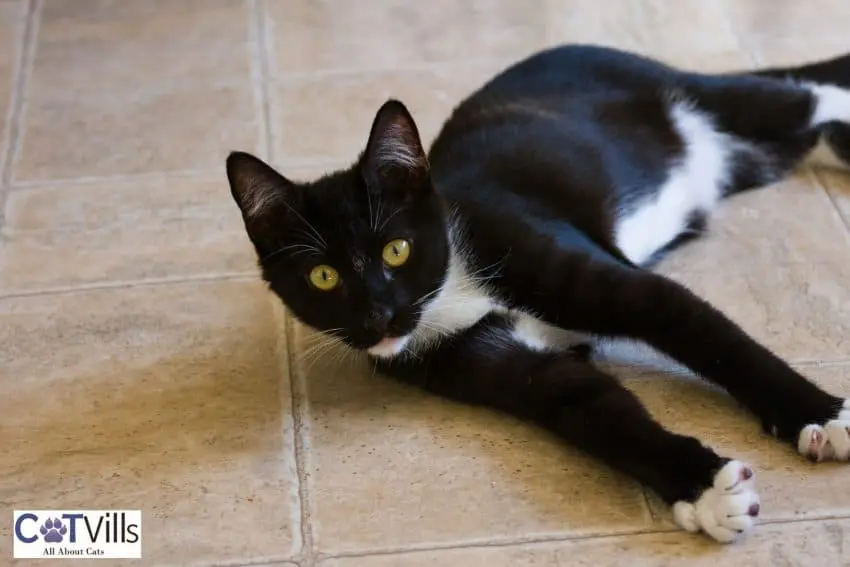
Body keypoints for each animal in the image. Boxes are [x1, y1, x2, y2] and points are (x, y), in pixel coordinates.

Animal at [224, 45, 848, 544]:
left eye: (396, 250)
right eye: (323, 277)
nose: (379, 316)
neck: (455, 288)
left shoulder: (609, 281)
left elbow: (714, 339)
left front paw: (820, 414)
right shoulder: (497, 363)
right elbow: (594, 411)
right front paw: (704, 490)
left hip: (717, 99)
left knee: (810, 96)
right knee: (812, 134)